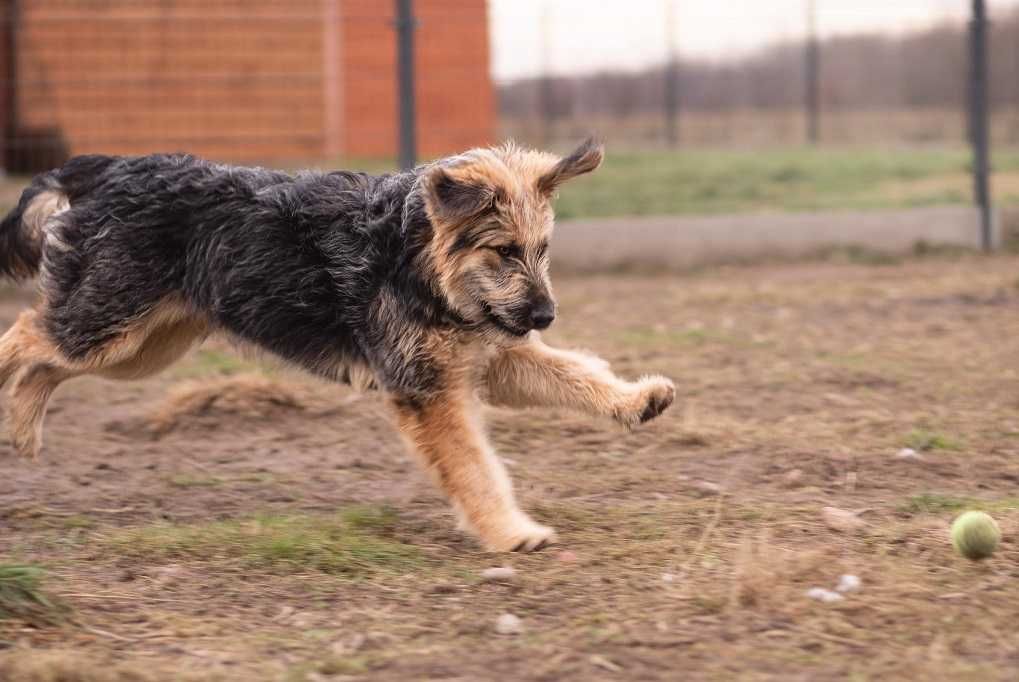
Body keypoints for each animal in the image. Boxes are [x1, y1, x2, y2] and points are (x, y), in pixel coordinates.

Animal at [0, 139, 676, 554]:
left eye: (541, 250)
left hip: (142, 347)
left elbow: (575, 372)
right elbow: (474, 467)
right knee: (27, 334)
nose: (545, 314)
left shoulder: (491, 357)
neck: (413, 255)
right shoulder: (427, 390)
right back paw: (17, 421)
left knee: (43, 362)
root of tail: (103, 168)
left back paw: (23, 431)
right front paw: (511, 533)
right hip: (107, 329)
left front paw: (635, 400)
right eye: (503, 250)